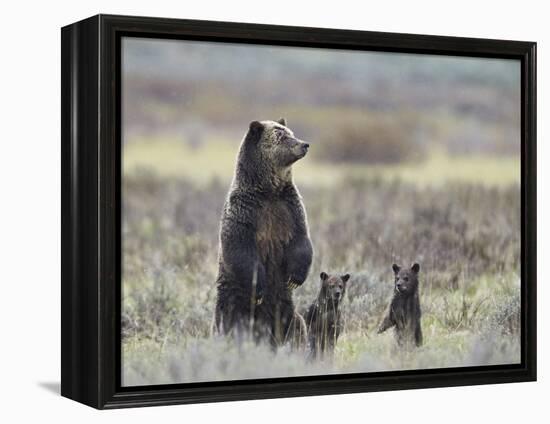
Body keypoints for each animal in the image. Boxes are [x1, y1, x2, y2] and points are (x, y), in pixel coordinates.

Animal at [215, 117, 312, 348]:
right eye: (281, 135)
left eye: (290, 132)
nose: (304, 144)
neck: (269, 191)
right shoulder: (246, 212)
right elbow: (240, 248)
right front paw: (258, 289)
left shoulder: (290, 207)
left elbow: (301, 240)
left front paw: (295, 277)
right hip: (232, 298)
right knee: (229, 321)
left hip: (284, 305)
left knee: (294, 324)